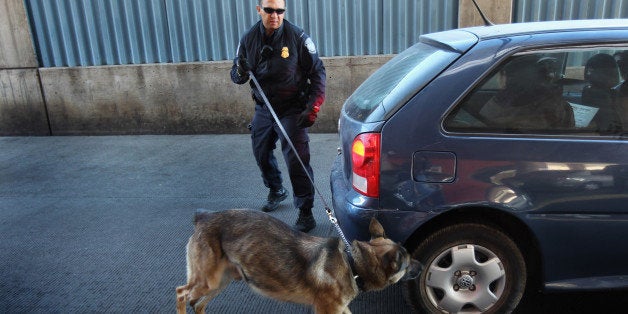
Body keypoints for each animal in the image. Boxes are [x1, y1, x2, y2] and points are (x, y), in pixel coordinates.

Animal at [177, 209, 422, 314]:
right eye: (407, 263)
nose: (421, 266)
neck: (352, 263)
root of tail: (203, 217)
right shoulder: (327, 311)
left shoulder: (340, 309)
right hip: (208, 281)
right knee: (182, 293)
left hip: (221, 281)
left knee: (198, 304)